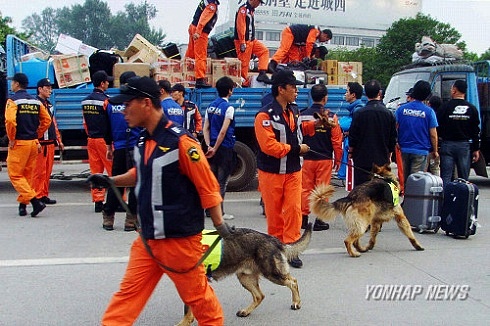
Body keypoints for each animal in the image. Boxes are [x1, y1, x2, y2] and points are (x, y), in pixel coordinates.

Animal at [177, 224, 314, 326]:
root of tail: (272, 239)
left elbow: (187, 309)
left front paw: (184, 322)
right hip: (245, 278)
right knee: (259, 296)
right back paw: (246, 311)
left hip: (271, 273)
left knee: (293, 281)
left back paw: (296, 302)